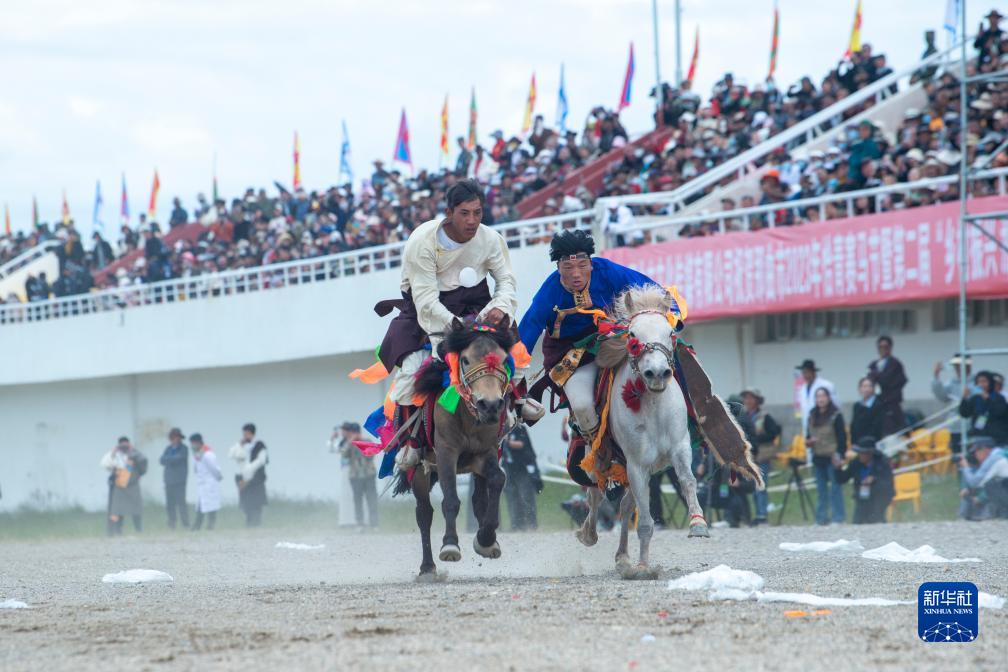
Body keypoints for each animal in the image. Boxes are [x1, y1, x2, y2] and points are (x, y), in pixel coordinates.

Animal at [403, 322, 516, 580]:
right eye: (464, 359)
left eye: (505, 359)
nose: (491, 405)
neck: (468, 416)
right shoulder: (446, 452)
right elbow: (451, 501)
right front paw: (450, 545)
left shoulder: (486, 452)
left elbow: (497, 479)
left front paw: (486, 539)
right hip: (421, 470)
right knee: (424, 512)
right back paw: (427, 567)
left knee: (479, 498)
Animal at [580, 284, 713, 580]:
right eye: (632, 335)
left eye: (670, 332)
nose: (657, 373)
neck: (652, 407)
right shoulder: (637, 464)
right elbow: (644, 521)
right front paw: (643, 567)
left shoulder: (679, 449)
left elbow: (688, 481)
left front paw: (698, 523)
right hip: (600, 457)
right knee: (595, 495)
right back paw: (589, 534)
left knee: (625, 505)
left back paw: (622, 558)